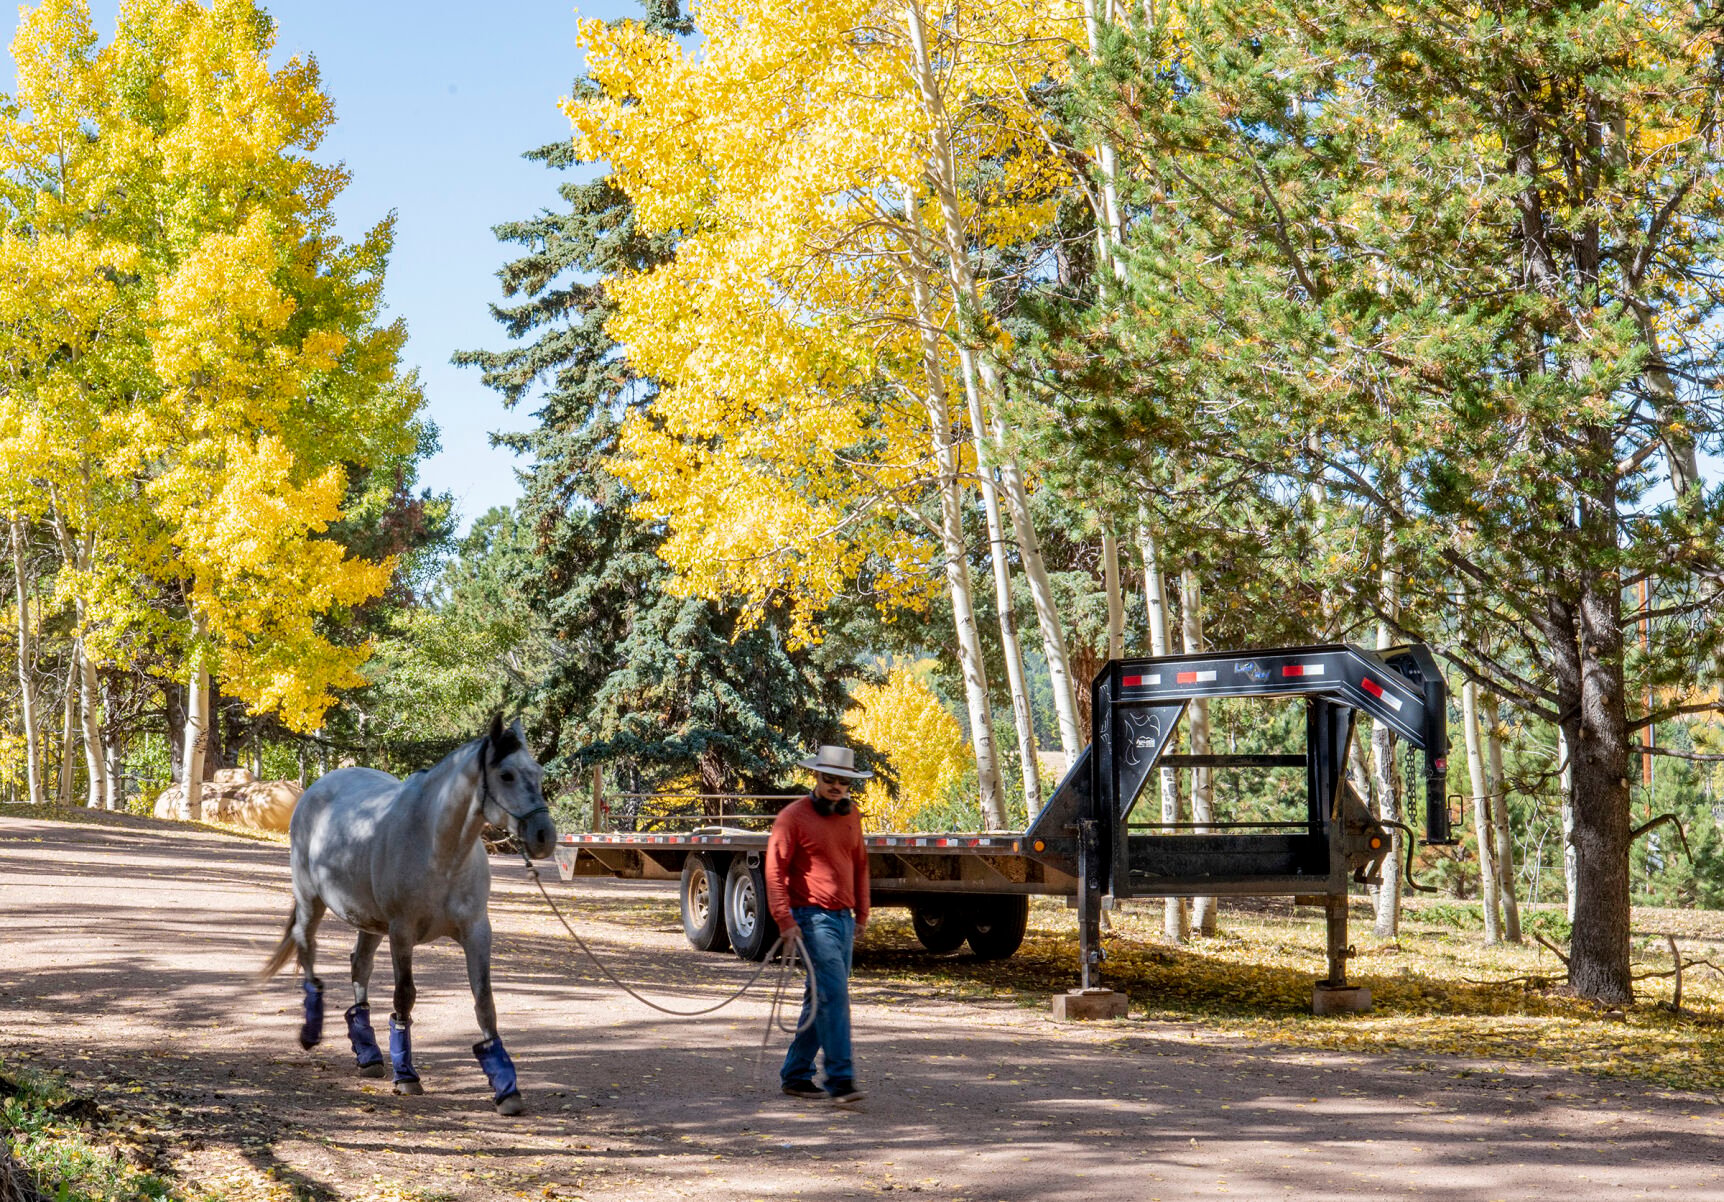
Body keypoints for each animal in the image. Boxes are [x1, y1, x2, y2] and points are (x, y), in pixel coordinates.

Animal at [259, 715, 557, 1115]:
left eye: (537, 772)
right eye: (506, 775)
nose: (544, 836)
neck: (440, 851)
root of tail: (318, 787)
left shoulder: (477, 931)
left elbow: (484, 1002)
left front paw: (506, 1089)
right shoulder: (402, 933)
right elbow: (405, 996)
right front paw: (407, 1075)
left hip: (368, 921)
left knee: (360, 968)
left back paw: (368, 1055)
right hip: (311, 903)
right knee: (308, 952)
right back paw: (311, 1032)